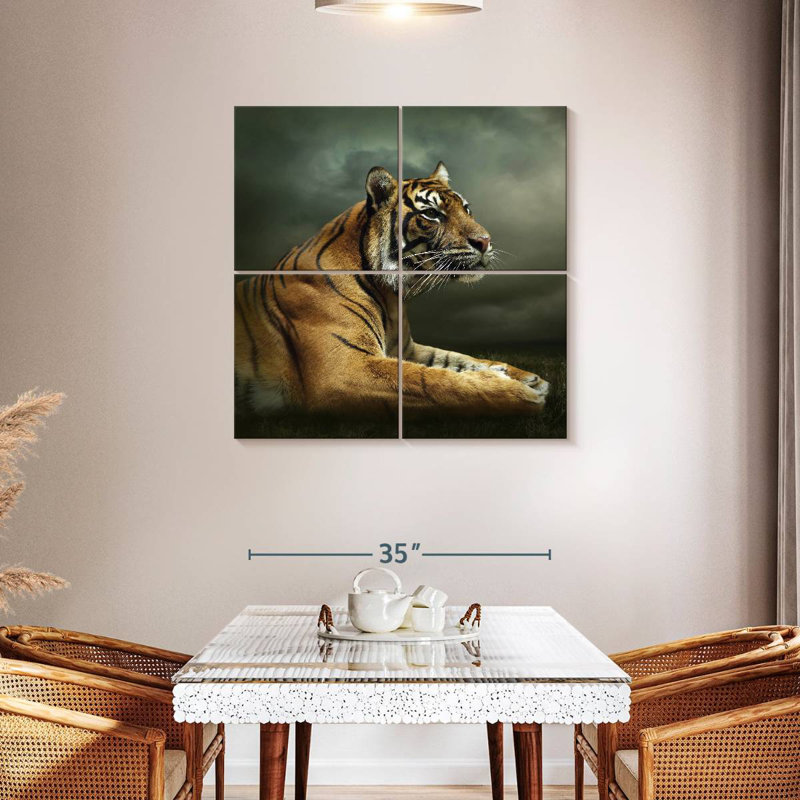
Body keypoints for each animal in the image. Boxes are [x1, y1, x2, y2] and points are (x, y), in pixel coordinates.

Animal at [235, 162, 549, 419]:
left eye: (467, 209)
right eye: (432, 214)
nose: (485, 241)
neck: (391, 294)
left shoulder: (407, 348)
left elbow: (456, 359)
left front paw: (526, 377)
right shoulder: (343, 369)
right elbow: (432, 382)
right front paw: (518, 393)